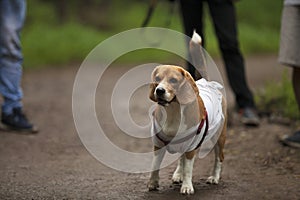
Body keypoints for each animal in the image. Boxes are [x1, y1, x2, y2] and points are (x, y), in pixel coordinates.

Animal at [146, 32, 226, 195]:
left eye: (173, 80)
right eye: (157, 79)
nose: (159, 90)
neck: (173, 112)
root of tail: (207, 82)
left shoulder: (191, 148)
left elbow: (189, 168)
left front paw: (187, 186)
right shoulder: (158, 144)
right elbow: (155, 166)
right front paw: (153, 183)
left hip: (219, 138)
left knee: (219, 158)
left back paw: (214, 177)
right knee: (181, 159)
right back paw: (178, 174)